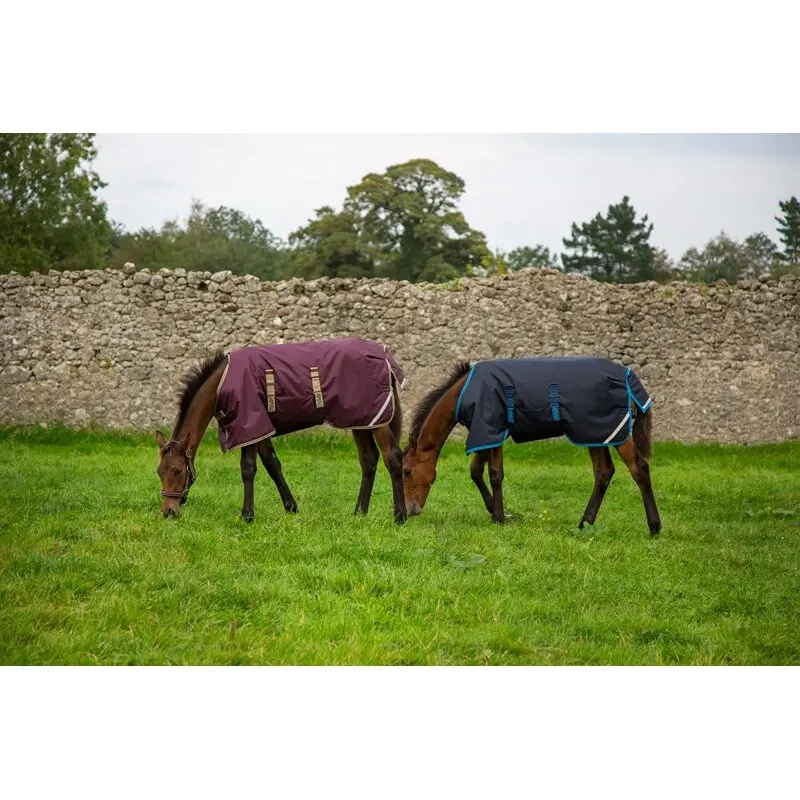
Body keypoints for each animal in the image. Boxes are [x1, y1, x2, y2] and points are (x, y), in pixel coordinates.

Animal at [155, 338, 407, 524]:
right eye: (159, 472)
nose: (168, 511)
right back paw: (359, 513)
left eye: (178, 470)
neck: (222, 383)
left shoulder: (250, 424)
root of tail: (383, 355)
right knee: (369, 460)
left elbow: (248, 468)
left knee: (392, 457)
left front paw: (247, 515)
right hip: (362, 421)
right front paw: (291, 507)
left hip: (378, 421)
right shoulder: (260, 429)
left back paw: (400, 516)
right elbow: (272, 464)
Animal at [401, 357, 661, 535]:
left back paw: (654, 527)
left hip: (611, 432)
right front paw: (497, 512)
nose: (409, 512)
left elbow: (494, 473)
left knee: (638, 468)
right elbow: (476, 471)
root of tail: (628, 376)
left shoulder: (492, 427)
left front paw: (500, 516)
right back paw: (584, 523)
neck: (465, 391)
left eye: (406, 471)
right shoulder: (487, 433)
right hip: (596, 434)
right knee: (604, 473)